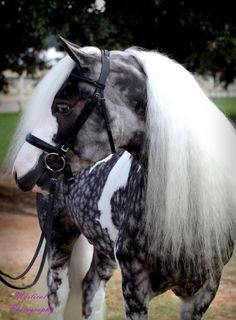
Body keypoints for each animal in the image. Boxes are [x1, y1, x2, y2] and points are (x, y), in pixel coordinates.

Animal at [7, 37, 236, 318]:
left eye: (63, 106)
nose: (21, 169)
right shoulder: (135, 287)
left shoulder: (204, 292)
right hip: (58, 239)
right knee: (58, 293)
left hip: (103, 250)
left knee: (91, 288)